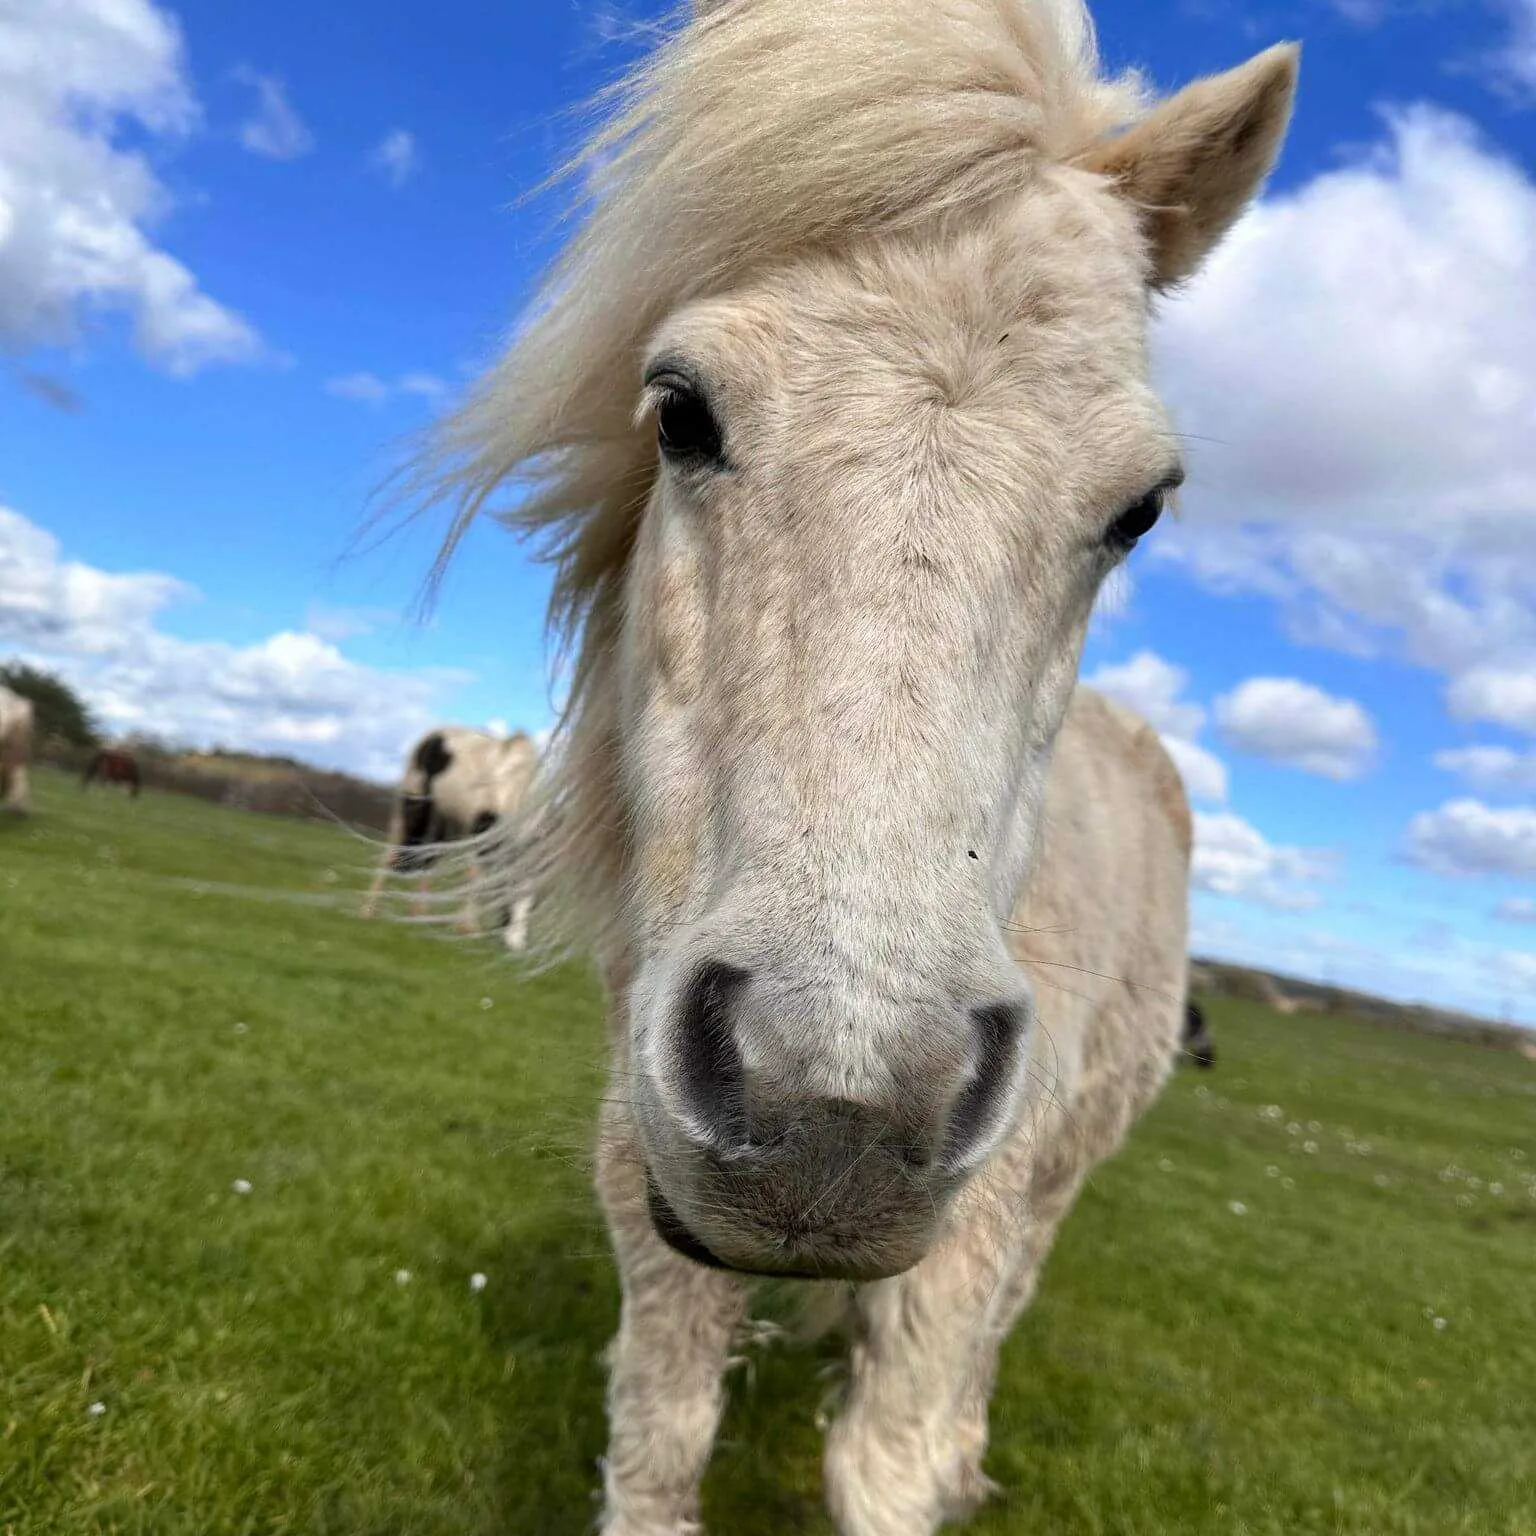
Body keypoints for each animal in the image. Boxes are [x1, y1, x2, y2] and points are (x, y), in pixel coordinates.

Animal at [361, 726, 540, 950]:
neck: (510, 789)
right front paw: (468, 929)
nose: (516, 948)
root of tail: (435, 733)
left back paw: (418, 915)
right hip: (411, 807)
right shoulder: (477, 832)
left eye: (532, 906)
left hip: (442, 822)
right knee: (390, 854)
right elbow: (475, 879)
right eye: (508, 901)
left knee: (429, 860)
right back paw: (369, 911)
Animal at [413, 2, 1298, 1528]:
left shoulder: (965, 1237)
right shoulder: (651, 1189)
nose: (833, 1110)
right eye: (680, 411)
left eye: (1140, 510)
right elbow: (659, 1438)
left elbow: (888, 1459)